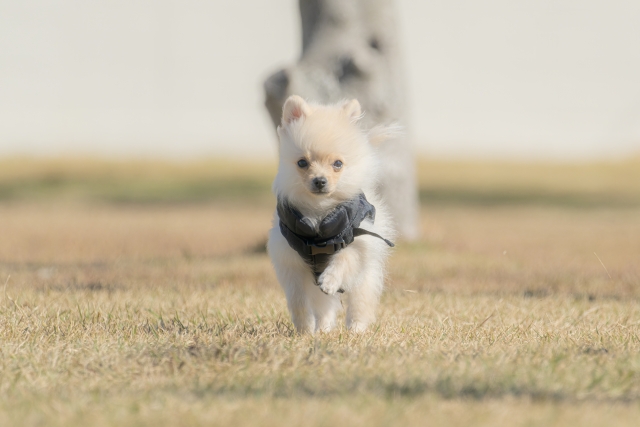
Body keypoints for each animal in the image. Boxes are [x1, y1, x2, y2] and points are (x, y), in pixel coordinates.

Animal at [264, 94, 396, 334]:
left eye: (337, 164)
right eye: (302, 162)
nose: (320, 181)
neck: (319, 214)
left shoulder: (358, 241)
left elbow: (345, 259)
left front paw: (330, 280)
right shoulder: (290, 261)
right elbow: (298, 300)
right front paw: (304, 330)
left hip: (365, 279)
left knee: (360, 303)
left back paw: (356, 329)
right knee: (324, 307)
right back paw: (323, 329)